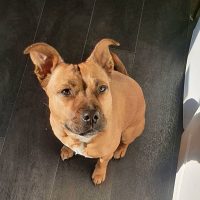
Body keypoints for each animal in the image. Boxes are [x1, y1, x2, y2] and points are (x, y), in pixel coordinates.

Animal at [24, 38, 146, 184]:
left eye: (102, 88)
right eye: (66, 91)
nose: (92, 115)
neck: (81, 139)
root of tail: (128, 77)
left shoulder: (106, 154)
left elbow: (102, 163)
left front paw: (99, 174)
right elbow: (67, 143)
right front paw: (67, 149)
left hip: (129, 132)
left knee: (126, 142)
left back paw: (121, 150)